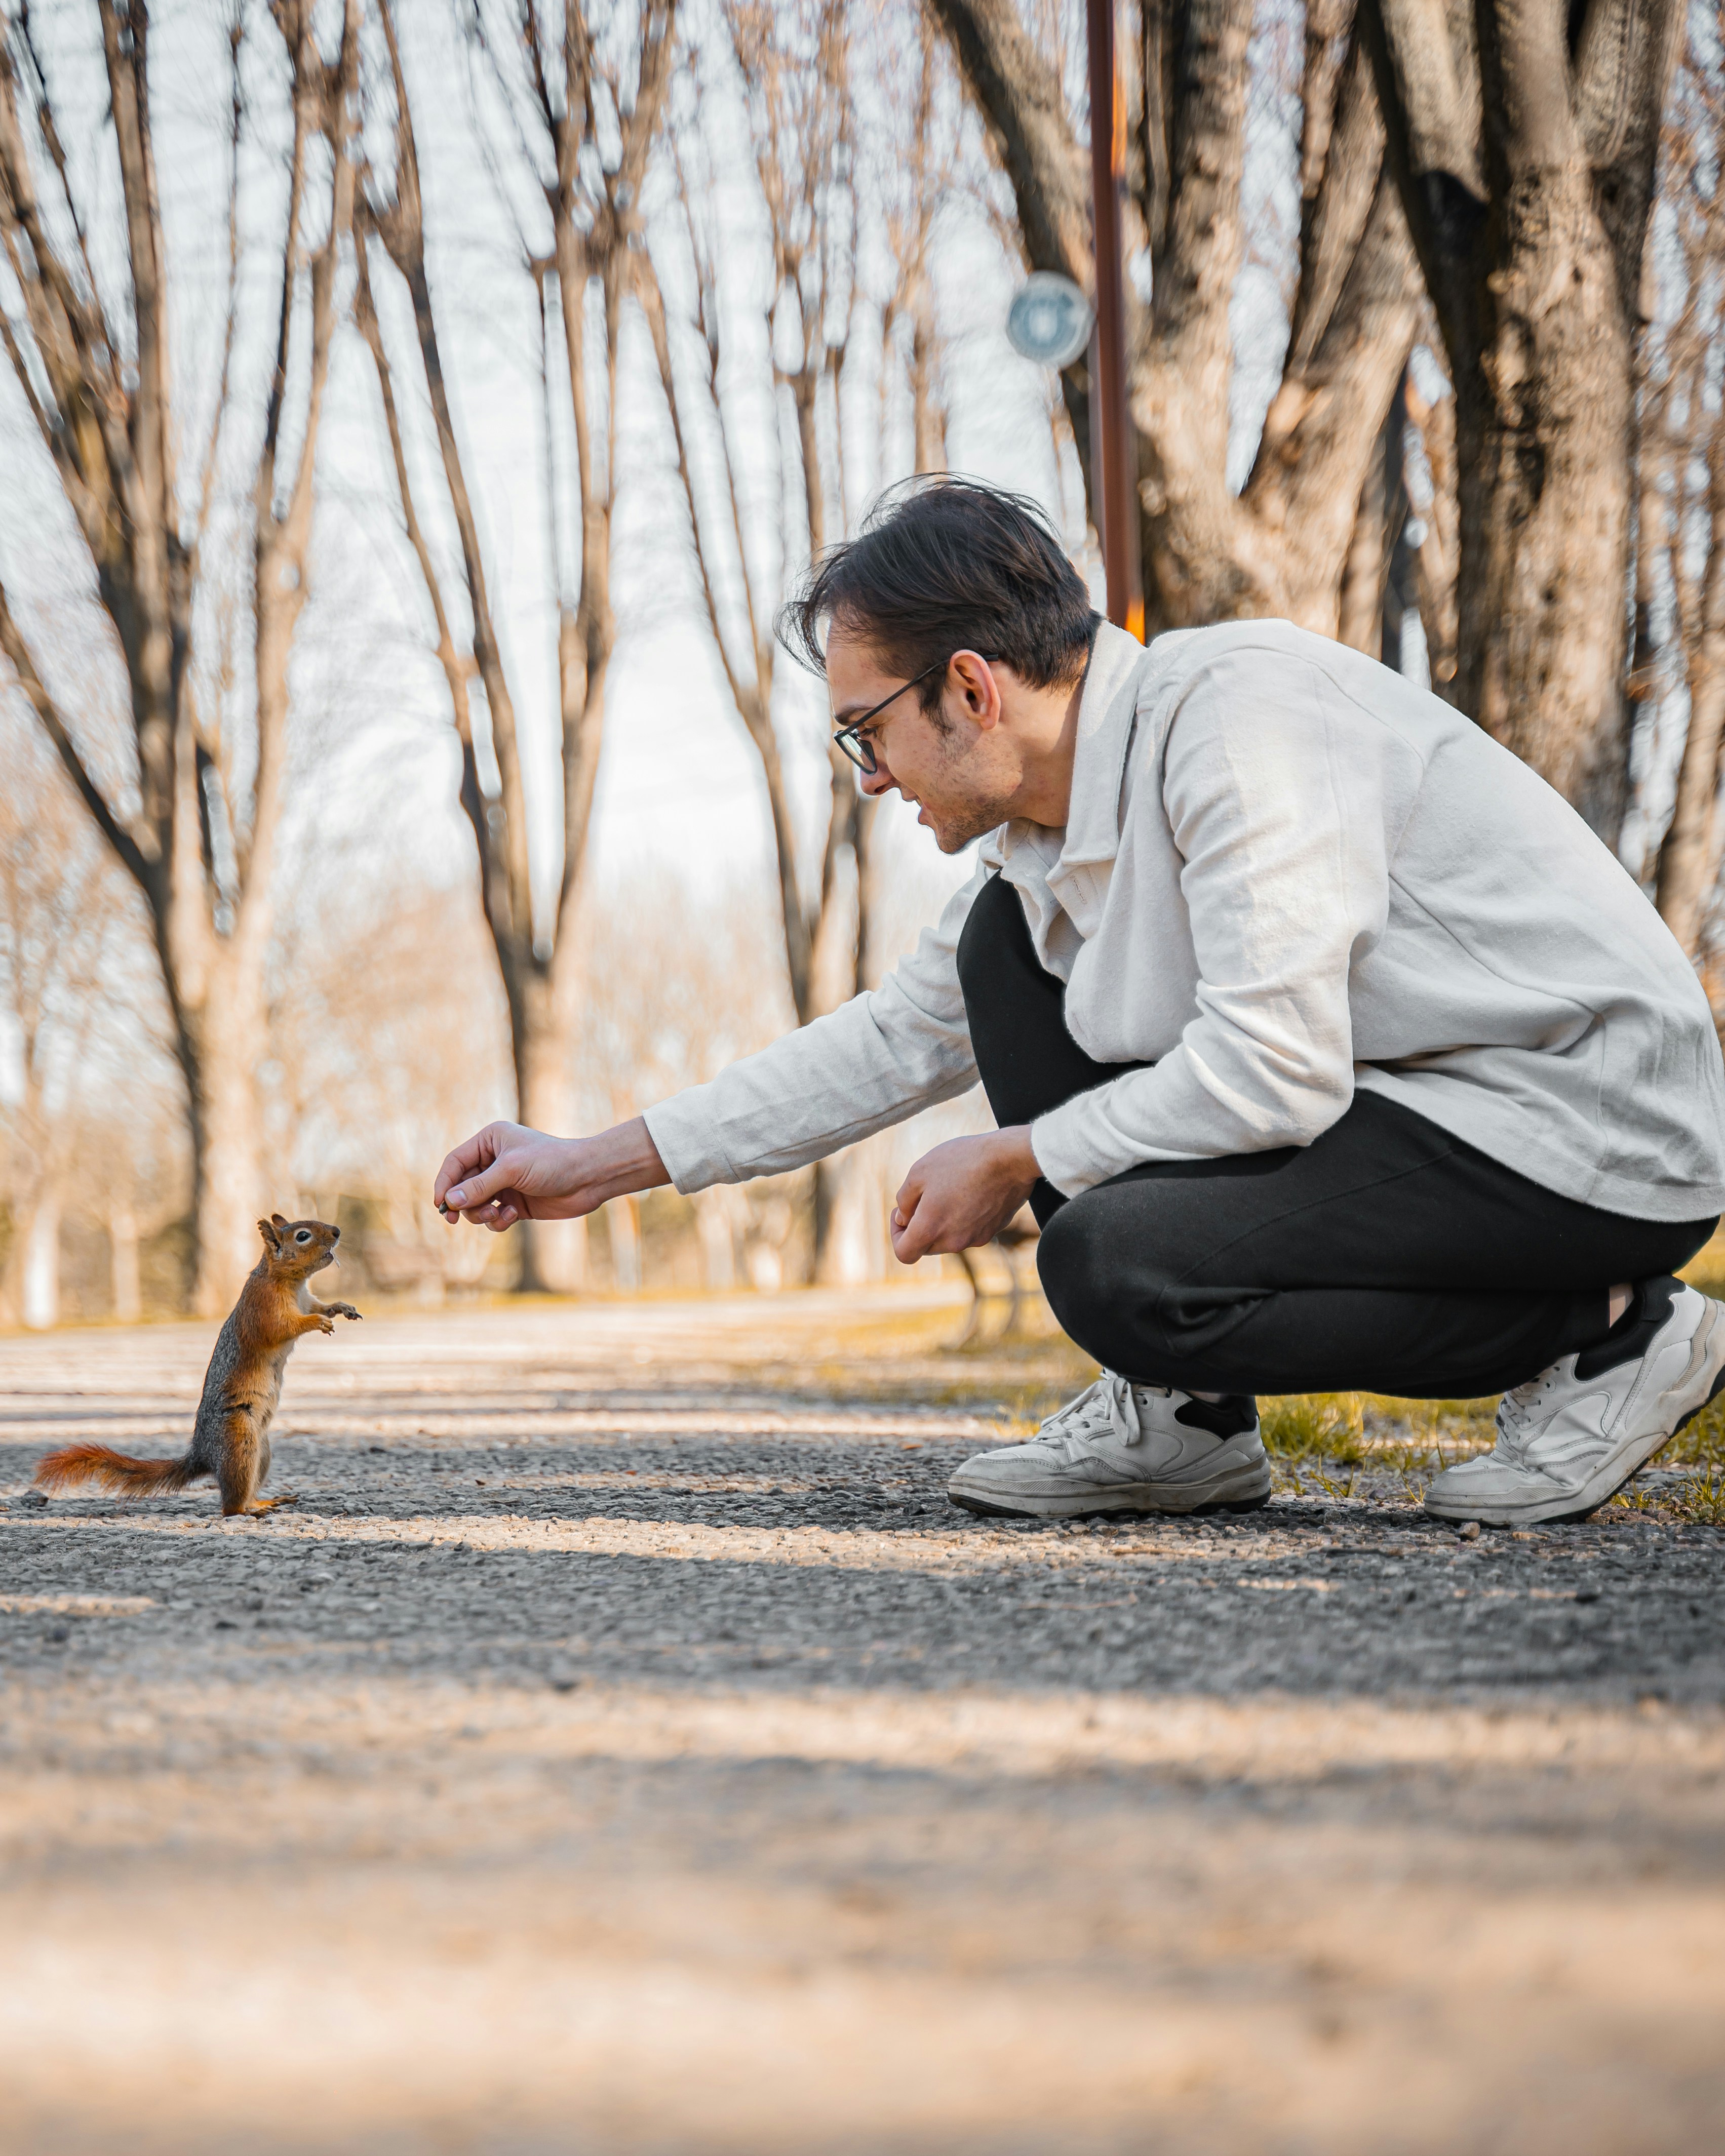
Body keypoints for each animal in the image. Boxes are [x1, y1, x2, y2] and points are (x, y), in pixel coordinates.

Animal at [34, 1214, 361, 1518]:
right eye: (303, 1236)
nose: (337, 1232)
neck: (291, 1283)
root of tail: (204, 1455)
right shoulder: (263, 1308)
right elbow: (281, 1329)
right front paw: (318, 1322)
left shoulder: (307, 1299)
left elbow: (321, 1305)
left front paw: (342, 1308)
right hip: (239, 1440)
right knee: (229, 1506)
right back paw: (249, 1511)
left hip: (263, 1450)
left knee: (247, 1491)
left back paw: (264, 1502)